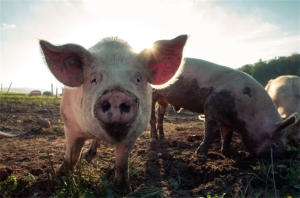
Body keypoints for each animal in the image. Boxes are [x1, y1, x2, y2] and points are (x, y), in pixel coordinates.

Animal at [38, 34, 186, 193]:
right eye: (94, 79)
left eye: (138, 79)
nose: (116, 95)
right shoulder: (70, 125)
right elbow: (71, 157)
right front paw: (57, 179)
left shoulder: (133, 135)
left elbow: (122, 163)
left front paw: (124, 190)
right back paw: (89, 154)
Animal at [149, 57, 298, 158]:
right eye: (276, 143)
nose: (282, 155)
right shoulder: (212, 106)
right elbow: (210, 132)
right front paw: (200, 154)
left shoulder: (228, 121)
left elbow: (227, 136)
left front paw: (227, 154)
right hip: (152, 93)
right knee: (152, 116)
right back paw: (154, 138)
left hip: (163, 100)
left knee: (160, 114)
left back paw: (162, 136)